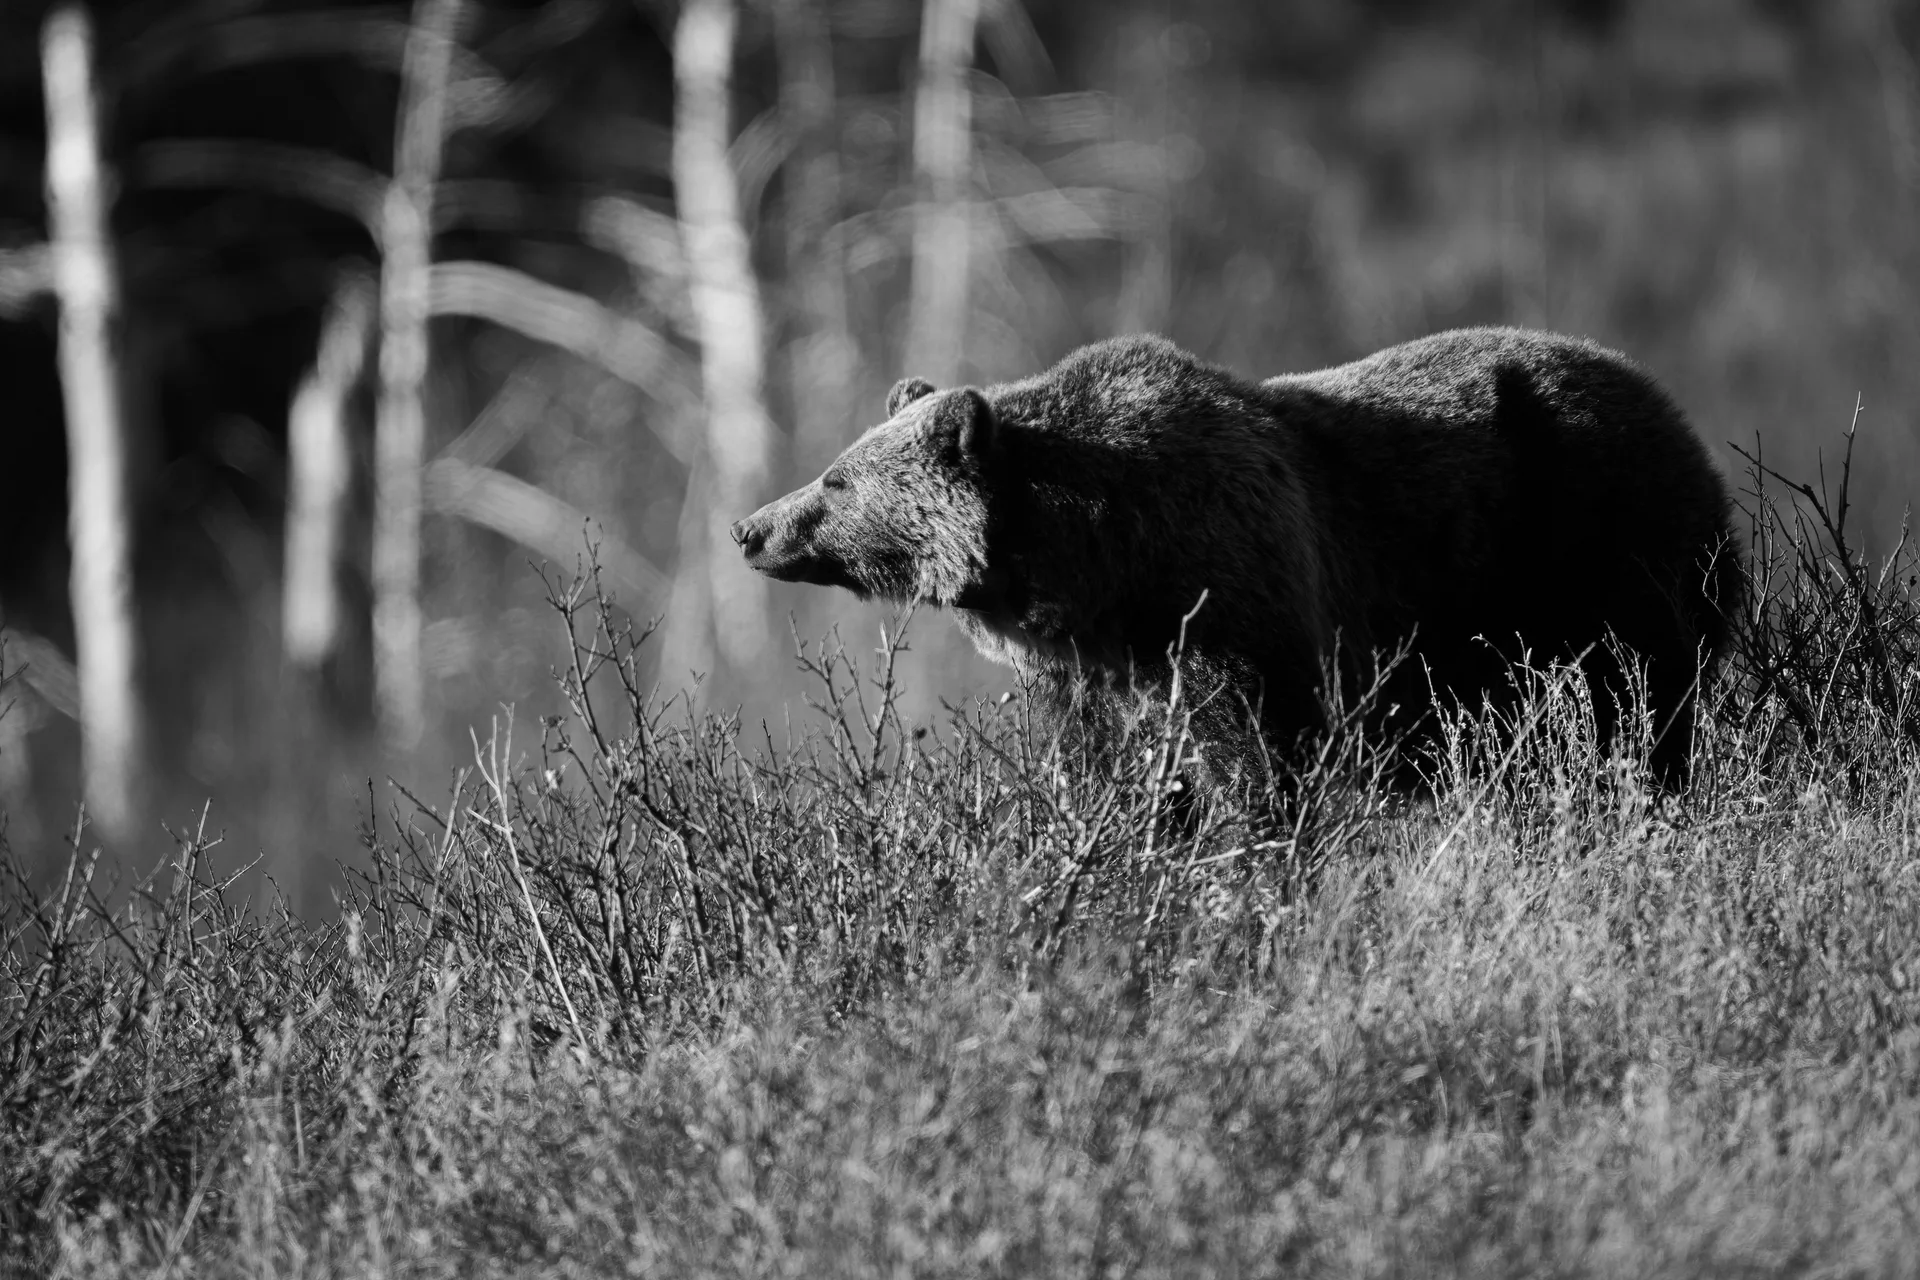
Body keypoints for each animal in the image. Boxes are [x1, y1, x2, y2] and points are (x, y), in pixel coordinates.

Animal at [730, 328, 1742, 788]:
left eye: (835, 480)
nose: (749, 528)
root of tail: (1663, 396)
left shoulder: (1234, 602)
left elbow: (1258, 748)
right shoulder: (1094, 671)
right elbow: (1108, 764)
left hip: (1601, 537)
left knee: (1644, 690)